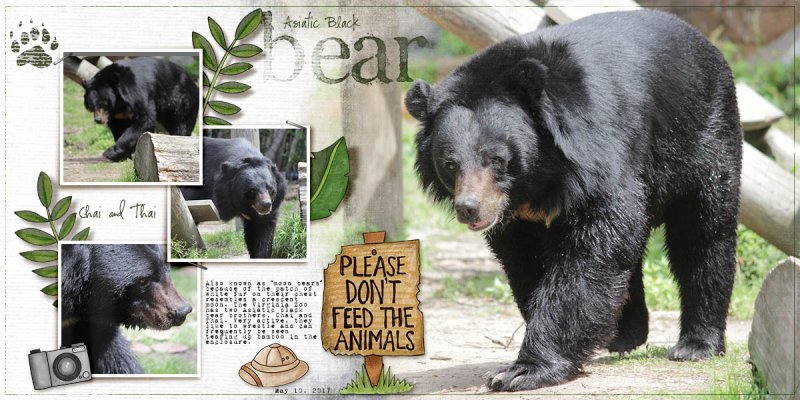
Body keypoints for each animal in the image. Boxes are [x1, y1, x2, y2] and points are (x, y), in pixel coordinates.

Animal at [405, 10, 741, 391]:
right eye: (450, 164)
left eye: (497, 159)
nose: (470, 208)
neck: (537, 179)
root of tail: (705, 42)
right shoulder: (517, 219)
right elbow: (528, 263)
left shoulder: (598, 154)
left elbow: (590, 254)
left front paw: (521, 370)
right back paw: (624, 334)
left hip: (702, 136)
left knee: (702, 234)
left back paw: (696, 344)